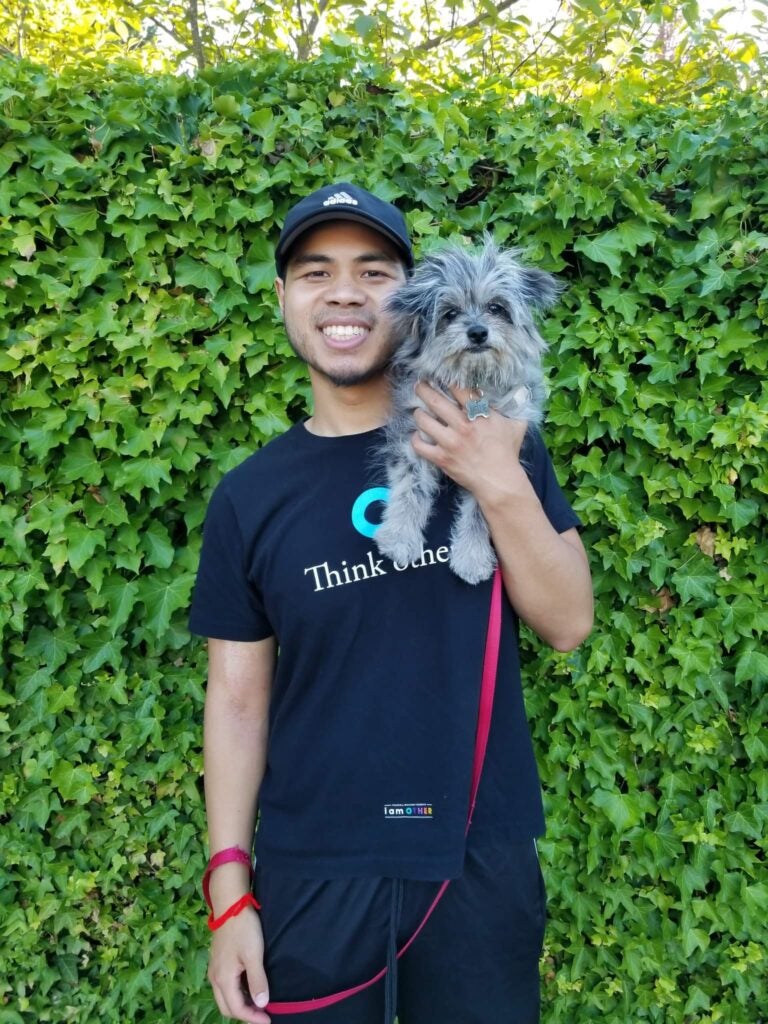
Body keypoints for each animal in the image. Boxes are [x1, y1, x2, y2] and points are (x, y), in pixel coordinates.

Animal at [372, 234, 561, 585]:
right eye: (449, 313)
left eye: (496, 308)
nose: (477, 332)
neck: (473, 384)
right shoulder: (413, 434)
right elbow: (409, 487)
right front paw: (400, 536)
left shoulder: (498, 462)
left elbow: (480, 511)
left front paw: (472, 556)